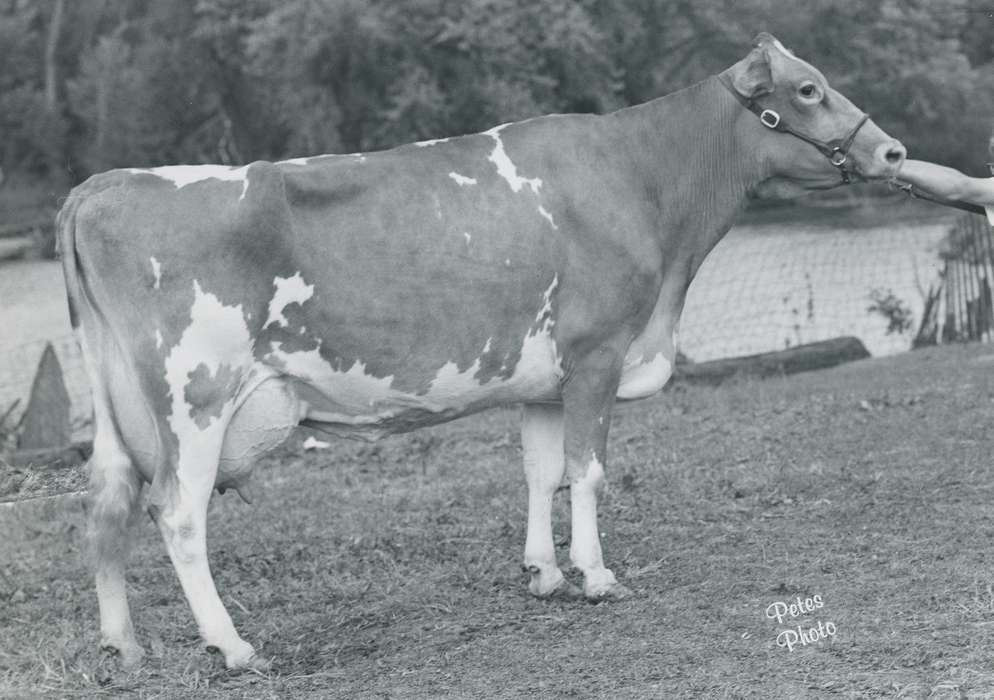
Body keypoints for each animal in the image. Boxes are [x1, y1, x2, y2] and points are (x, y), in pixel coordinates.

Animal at [58, 33, 905, 672]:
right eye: (807, 90)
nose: (894, 152)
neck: (645, 183)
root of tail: (104, 183)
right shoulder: (598, 353)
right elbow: (587, 469)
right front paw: (597, 576)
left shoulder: (544, 378)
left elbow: (540, 470)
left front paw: (544, 573)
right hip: (195, 396)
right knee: (177, 513)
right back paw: (231, 647)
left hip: (115, 404)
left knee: (107, 504)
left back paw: (123, 647)